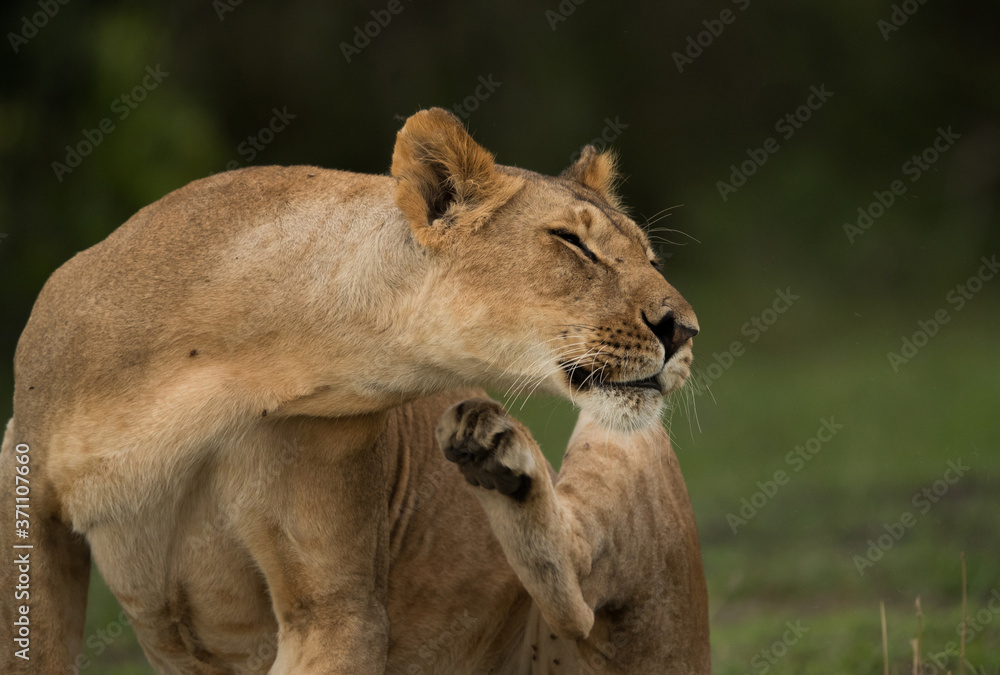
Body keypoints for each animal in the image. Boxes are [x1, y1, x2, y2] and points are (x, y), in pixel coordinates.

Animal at [0, 108, 700, 673]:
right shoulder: (27, 491)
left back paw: (498, 452)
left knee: (580, 598)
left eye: (650, 258)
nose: (685, 330)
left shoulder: (335, 606)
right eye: (572, 243)